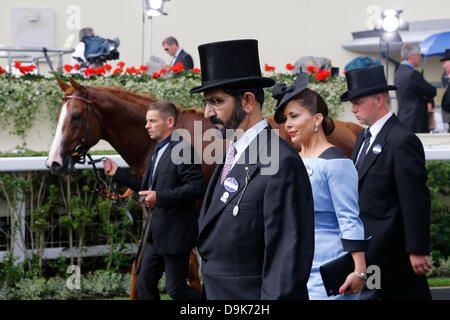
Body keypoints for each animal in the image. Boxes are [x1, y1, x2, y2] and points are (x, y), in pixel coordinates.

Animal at [45, 77, 362, 298]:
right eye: (58, 116)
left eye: (75, 116)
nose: (54, 162)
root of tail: (346, 126)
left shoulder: (189, 211)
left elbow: (189, 269)